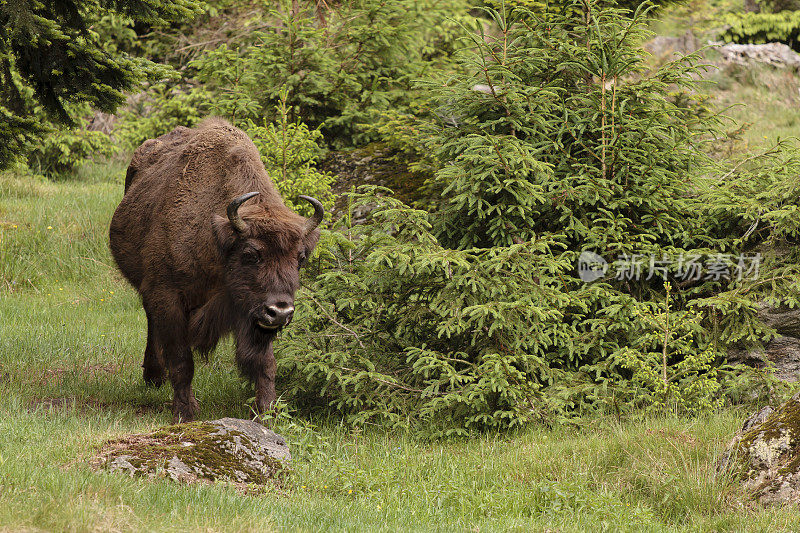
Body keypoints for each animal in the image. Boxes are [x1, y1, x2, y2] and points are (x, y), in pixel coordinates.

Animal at [108, 118, 322, 422]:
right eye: (250, 254)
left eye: (300, 258)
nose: (280, 311)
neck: (217, 243)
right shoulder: (167, 296)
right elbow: (182, 360)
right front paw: (185, 412)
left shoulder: (251, 314)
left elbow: (266, 363)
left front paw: (267, 412)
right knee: (152, 323)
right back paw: (154, 376)